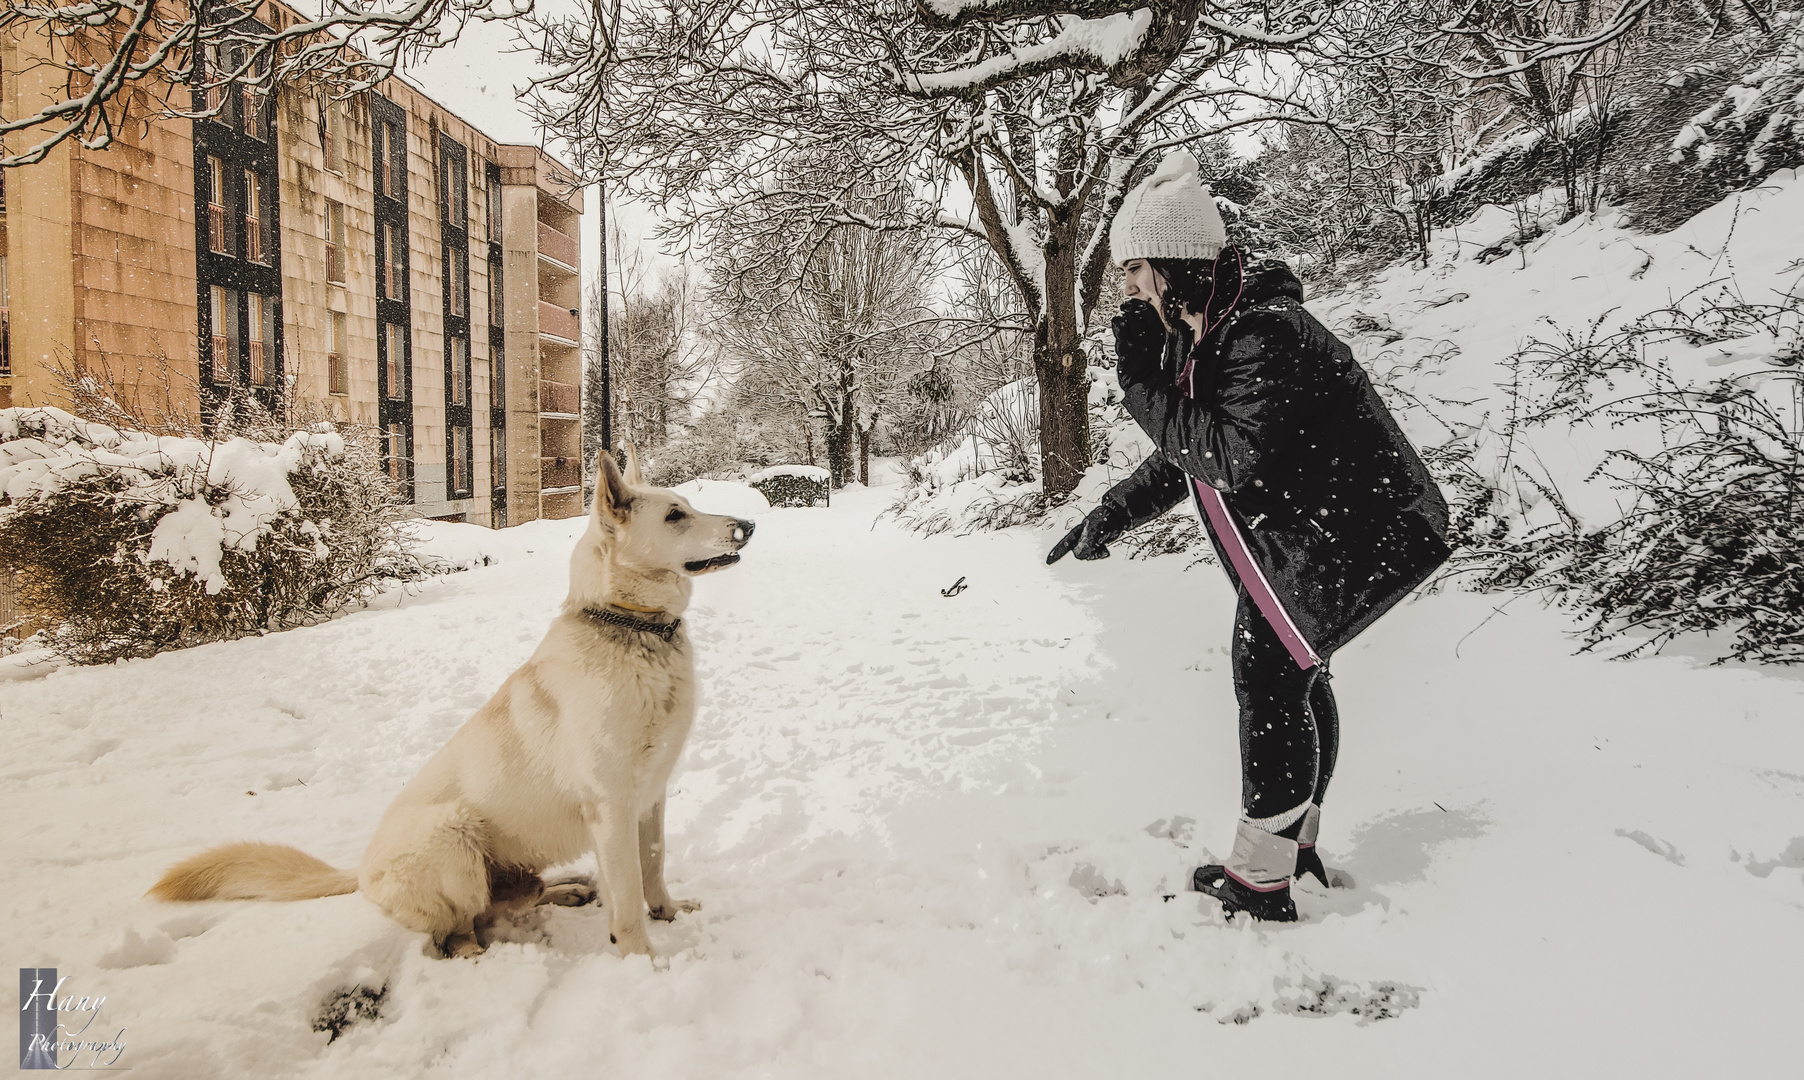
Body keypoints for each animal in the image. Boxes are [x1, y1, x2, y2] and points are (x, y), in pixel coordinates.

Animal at [147, 450, 754, 966]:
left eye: (687, 506)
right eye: (675, 516)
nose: (748, 526)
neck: (629, 627)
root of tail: (361, 871)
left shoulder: (650, 799)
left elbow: (653, 867)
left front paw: (669, 915)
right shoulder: (612, 806)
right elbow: (627, 899)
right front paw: (643, 960)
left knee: (511, 900)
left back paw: (567, 889)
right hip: (454, 838)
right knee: (459, 932)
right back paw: (489, 957)